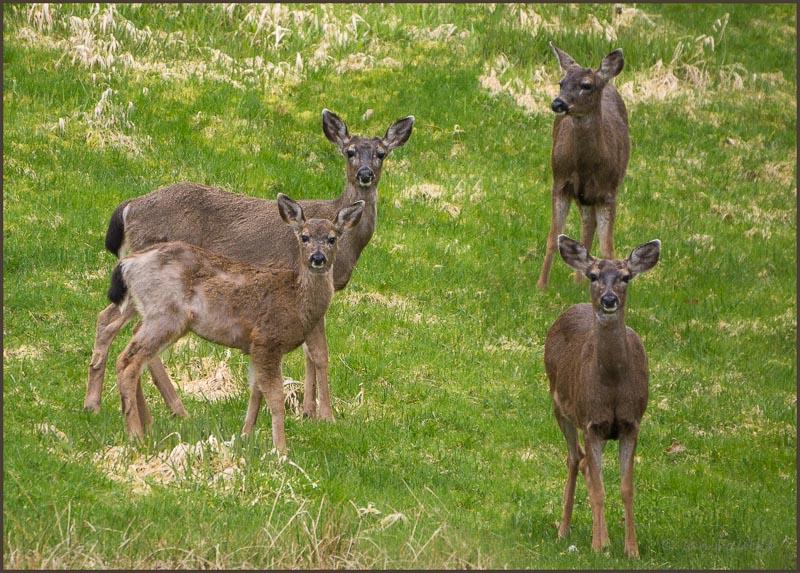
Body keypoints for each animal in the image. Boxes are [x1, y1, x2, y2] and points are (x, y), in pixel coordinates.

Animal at [84, 109, 416, 420]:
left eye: (381, 153)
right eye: (349, 151)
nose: (365, 173)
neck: (346, 237)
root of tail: (128, 207)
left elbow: (310, 353)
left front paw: (308, 411)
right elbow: (317, 353)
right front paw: (321, 414)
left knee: (107, 320)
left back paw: (95, 405)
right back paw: (173, 409)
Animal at [109, 196, 366, 452]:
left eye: (332, 238)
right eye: (304, 237)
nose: (318, 258)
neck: (296, 301)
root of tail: (127, 264)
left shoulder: (254, 346)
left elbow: (255, 393)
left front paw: (245, 436)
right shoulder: (267, 339)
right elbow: (275, 398)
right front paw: (281, 450)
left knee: (132, 357)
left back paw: (145, 427)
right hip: (165, 315)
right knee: (128, 361)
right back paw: (136, 435)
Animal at [536, 43, 632, 290]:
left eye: (586, 85)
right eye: (561, 82)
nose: (558, 103)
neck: (587, 166)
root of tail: (608, 81)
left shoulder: (609, 192)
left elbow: (608, 248)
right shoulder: (560, 182)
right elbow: (553, 237)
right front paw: (541, 286)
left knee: (589, 228)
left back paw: (580, 280)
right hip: (581, 194)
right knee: (587, 227)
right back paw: (580, 279)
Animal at [544, 233, 664, 560]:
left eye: (626, 277)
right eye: (593, 275)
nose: (609, 299)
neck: (611, 386)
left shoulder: (632, 423)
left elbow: (626, 488)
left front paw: (631, 549)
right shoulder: (591, 422)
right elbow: (599, 489)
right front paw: (599, 547)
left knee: (584, 462)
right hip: (560, 406)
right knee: (575, 459)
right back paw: (564, 531)